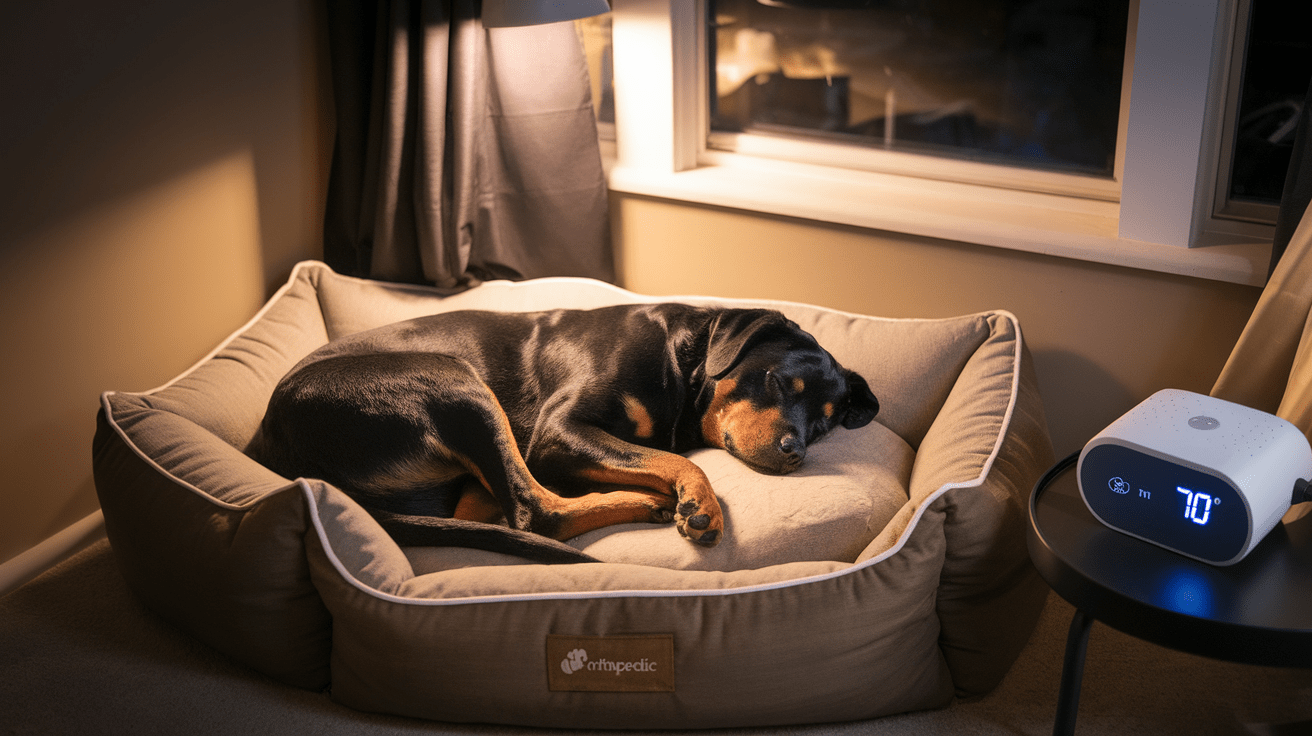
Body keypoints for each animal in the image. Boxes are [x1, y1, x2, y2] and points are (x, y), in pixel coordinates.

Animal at [247, 304, 881, 561]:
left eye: (825, 423)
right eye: (777, 381)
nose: (795, 451)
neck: (683, 359)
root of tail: (277, 447)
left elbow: (661, 456)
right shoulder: (559, 432)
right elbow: (679, 461)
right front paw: (700, 503)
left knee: (495, 512)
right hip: (453, 378)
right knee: (535, 511)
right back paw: (640, 503)